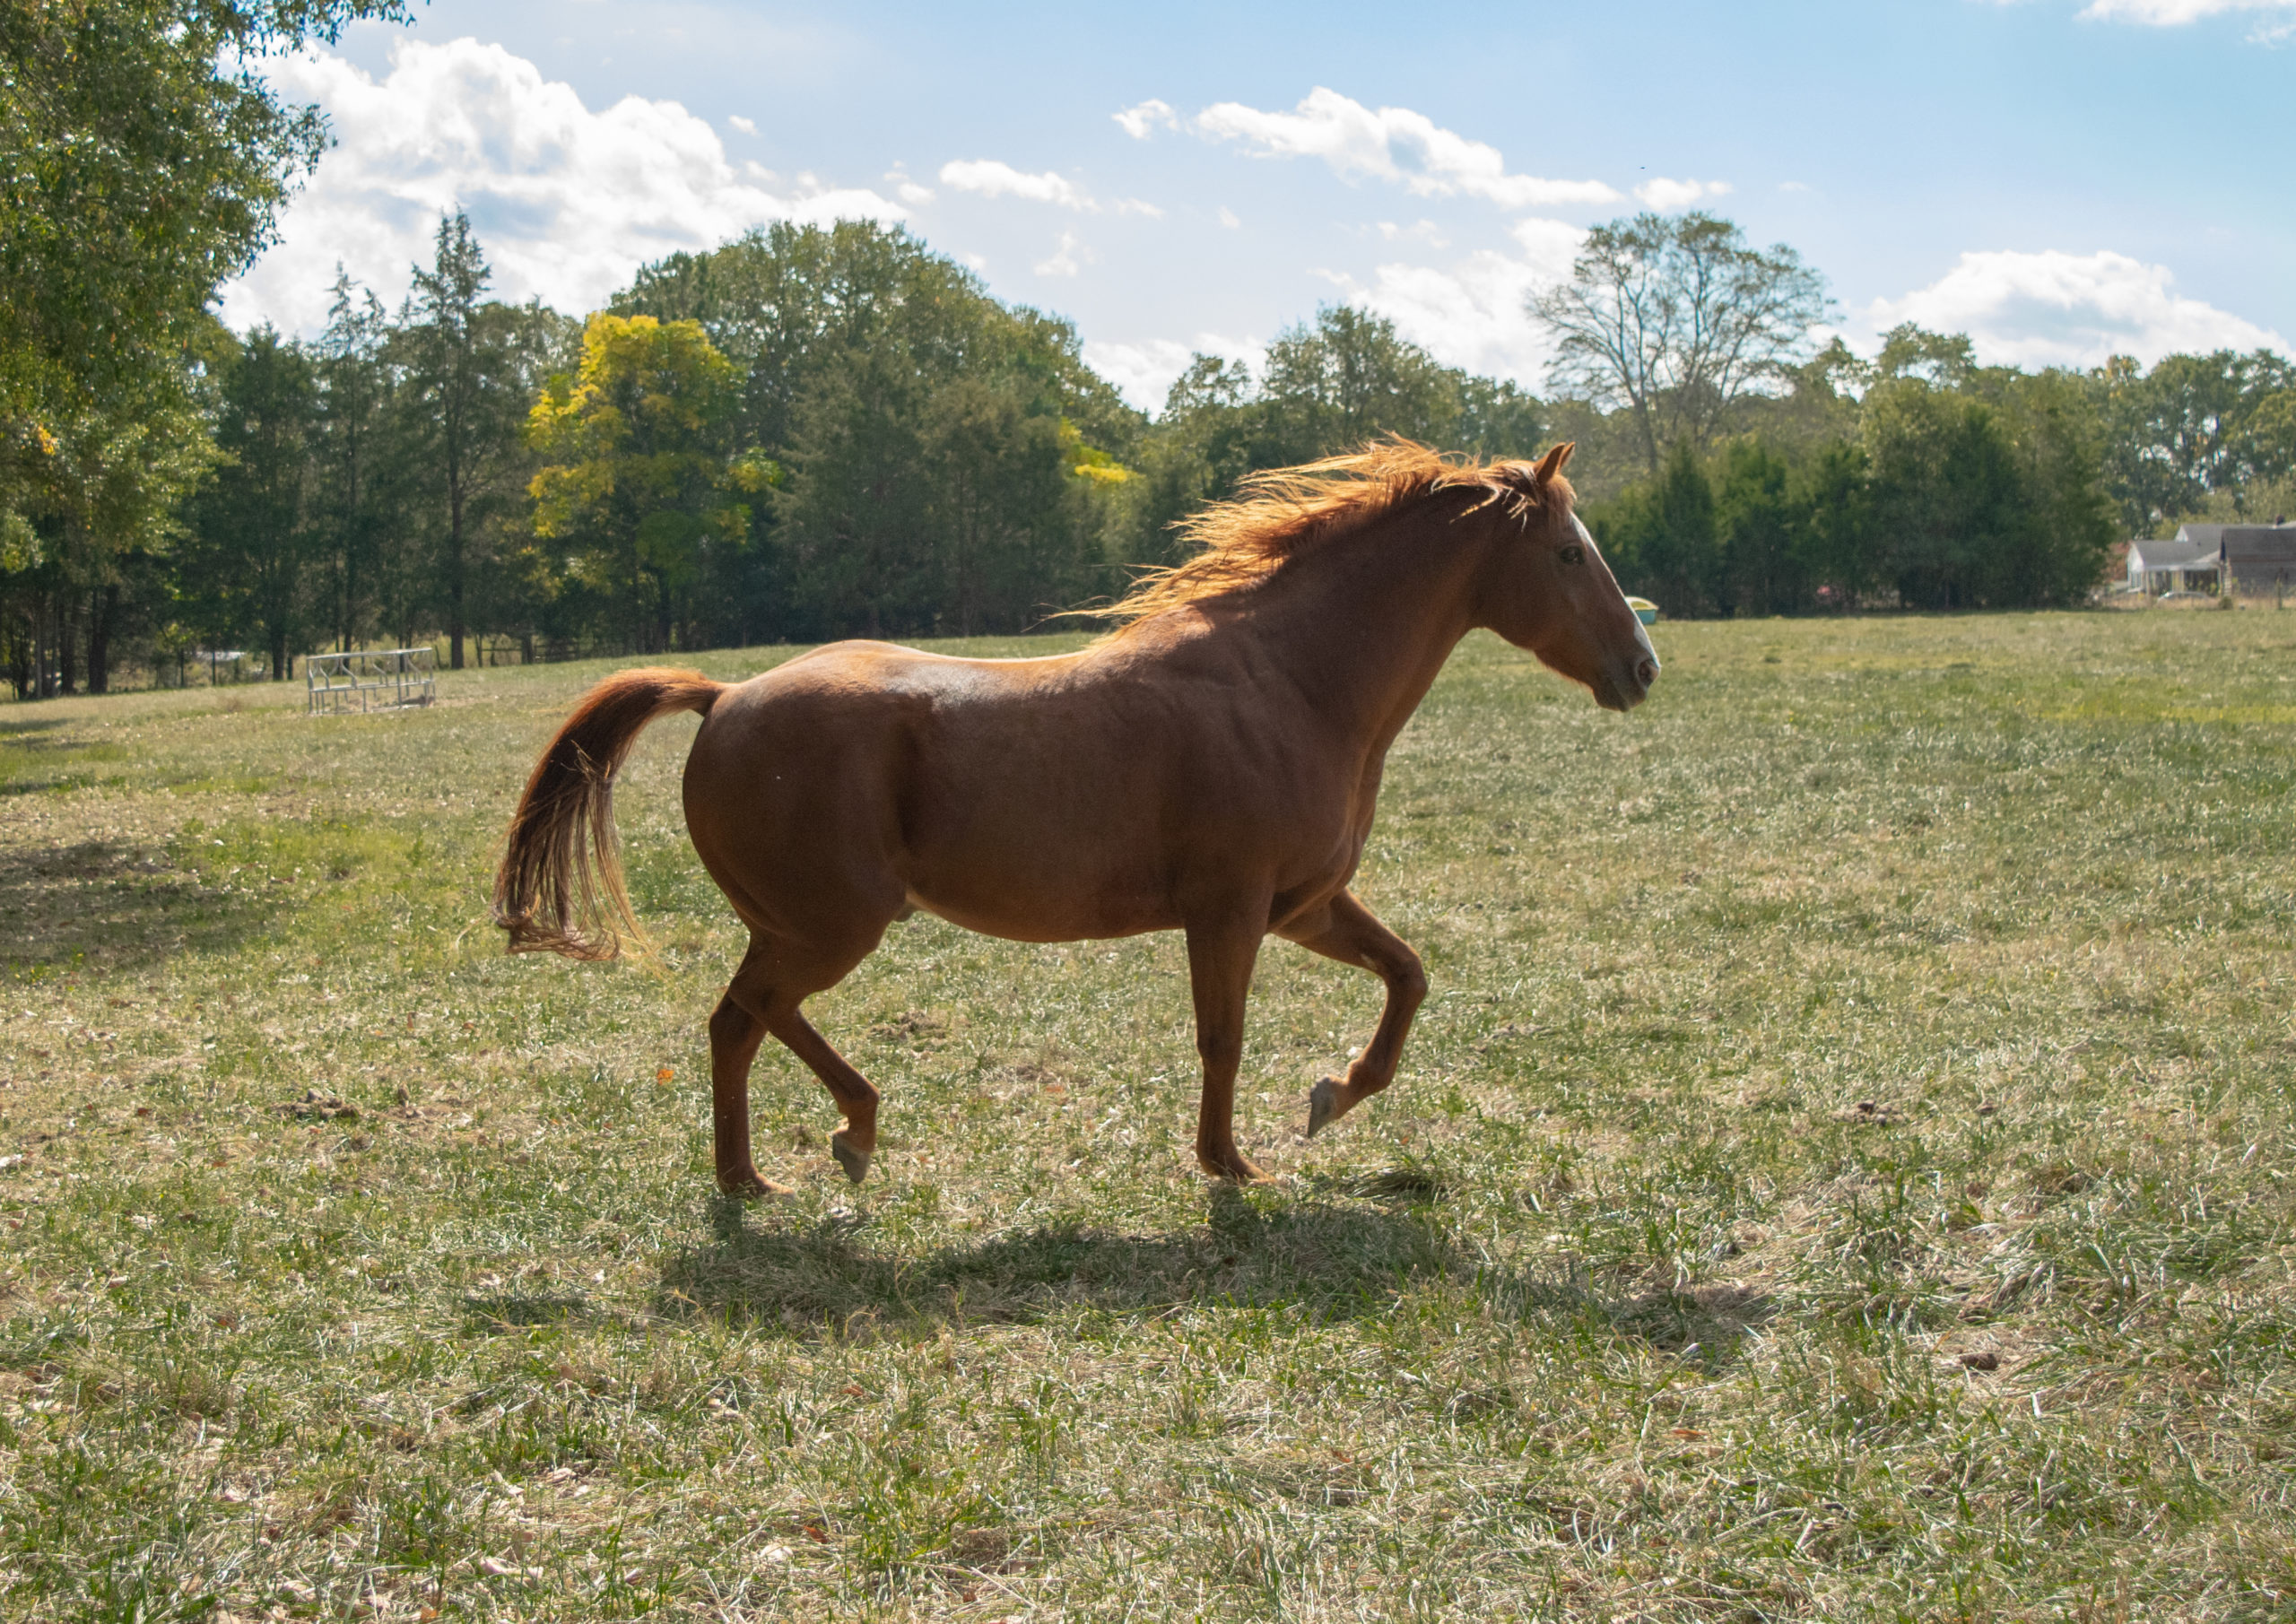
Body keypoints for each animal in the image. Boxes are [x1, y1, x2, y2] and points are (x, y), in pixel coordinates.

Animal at [498, 440, 1653, 1194]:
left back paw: (787, 1158)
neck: (1291, 681)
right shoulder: (1229, 911)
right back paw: (818, 1148)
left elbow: (1406, 975)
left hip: (799, 926)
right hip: (829, 925)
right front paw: (1233, 1162)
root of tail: (724, 695)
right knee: (748, 1017)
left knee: (742, 1020)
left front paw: (1332, 1095)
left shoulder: (1303, 904)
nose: (1641, 668)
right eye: (1567, 554)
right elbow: (1223, 1036)